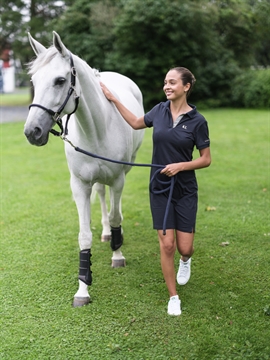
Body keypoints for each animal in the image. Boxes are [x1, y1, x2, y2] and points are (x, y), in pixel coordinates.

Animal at [24, 31, 144, 306]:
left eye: (60, 80)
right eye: (34, 80)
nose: (32, 131)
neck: (97, 129)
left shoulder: (118, 180)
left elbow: (116, 216)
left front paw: (117, 256)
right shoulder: (79, 186)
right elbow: (84, 235)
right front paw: (82, 289)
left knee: (113, 206)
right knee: (100, 194)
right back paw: (107, 234)